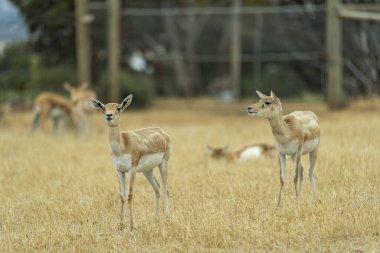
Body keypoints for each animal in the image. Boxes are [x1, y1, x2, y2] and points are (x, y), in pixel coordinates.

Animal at [90, 94, 171, 229]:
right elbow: (122, 196)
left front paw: (133, 225)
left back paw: (167, 217)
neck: (122, 145)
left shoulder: (131, 169)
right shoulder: (119, 171)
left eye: (118, 108)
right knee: (157, 188)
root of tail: (163, 132)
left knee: (165, 189)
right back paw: (156, 218)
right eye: (104, 108)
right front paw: (121, 225)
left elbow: (130, 195)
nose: (109, 115)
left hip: (163, 164)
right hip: (147, 171)